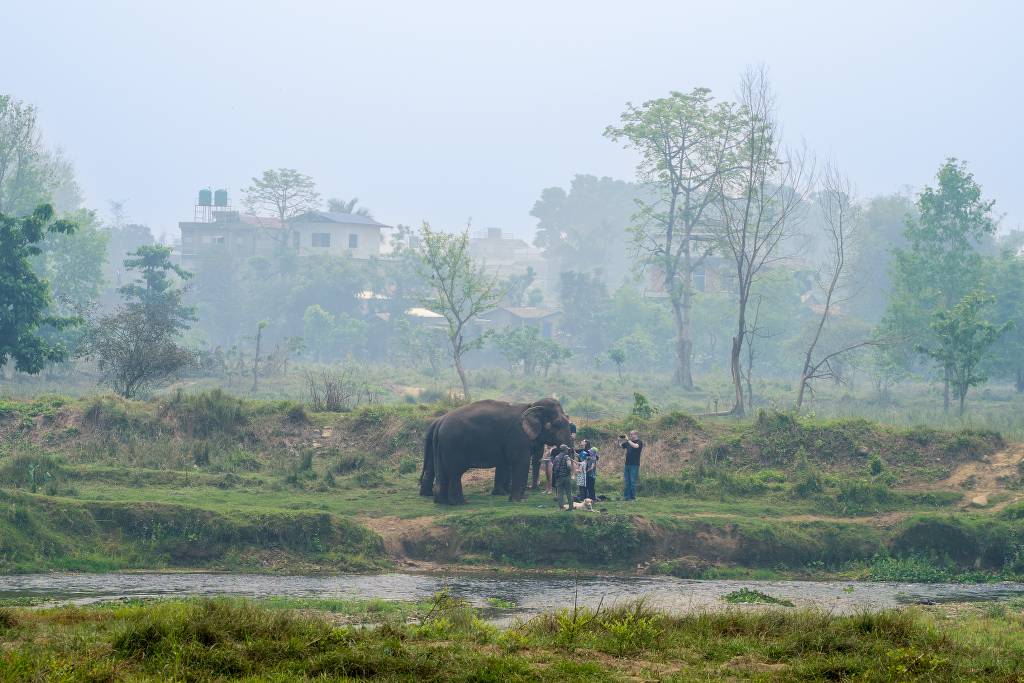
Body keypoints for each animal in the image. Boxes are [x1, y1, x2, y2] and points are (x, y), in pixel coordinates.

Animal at [418, 398, 573, 505]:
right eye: (557, 424)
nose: (532, 488)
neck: (531, 405)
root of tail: (439, 423)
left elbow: (505, 462)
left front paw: (503, 494)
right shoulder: (517, 436)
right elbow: (520, 462)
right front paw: (519, 500)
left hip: (442, 446)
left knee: (442, 471)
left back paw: (441, 501)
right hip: (452, 446)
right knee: (455, 472)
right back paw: (460, 502)